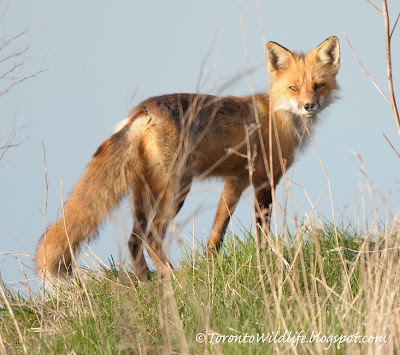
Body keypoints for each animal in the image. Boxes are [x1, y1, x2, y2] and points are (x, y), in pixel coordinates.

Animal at [35, 36, 340, 280]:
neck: (278, 117)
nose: (309, 106)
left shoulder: (236, 181)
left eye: (318, 85)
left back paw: (147, 281)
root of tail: (141, 112)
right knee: (152, 237)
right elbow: (261, 233)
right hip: (177, 188)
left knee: (134, 240)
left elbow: (217, 232)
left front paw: (211, 266)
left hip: (146, 193)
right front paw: (266, 262)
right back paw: (173, 277)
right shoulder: (264, 179)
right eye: (293, 88)